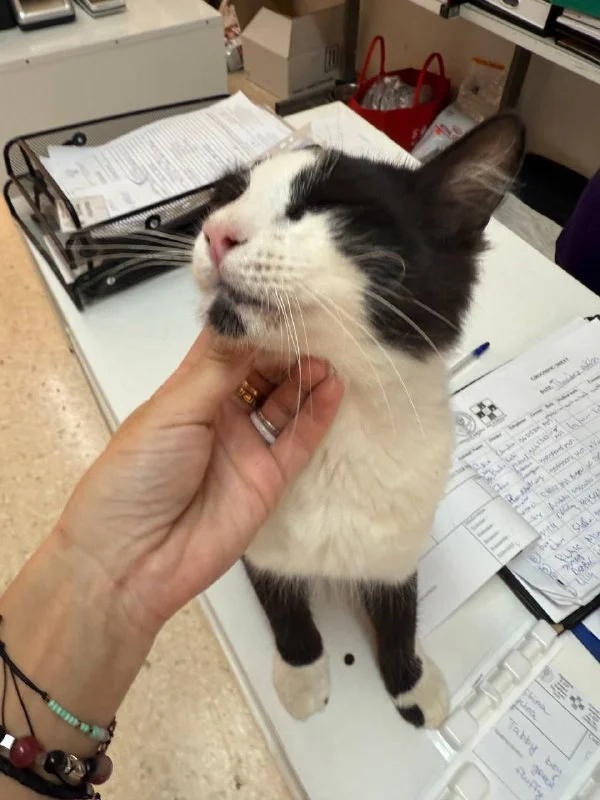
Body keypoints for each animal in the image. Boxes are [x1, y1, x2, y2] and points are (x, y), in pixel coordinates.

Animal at [192, 114, 525, 729]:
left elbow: (401, 611)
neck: (340, 426)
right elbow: (282, 606)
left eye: (328, 205)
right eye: (227, 195)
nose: (216, 232)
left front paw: (410, 681)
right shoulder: (256, 540)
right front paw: (302, 670)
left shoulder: (398, 541)